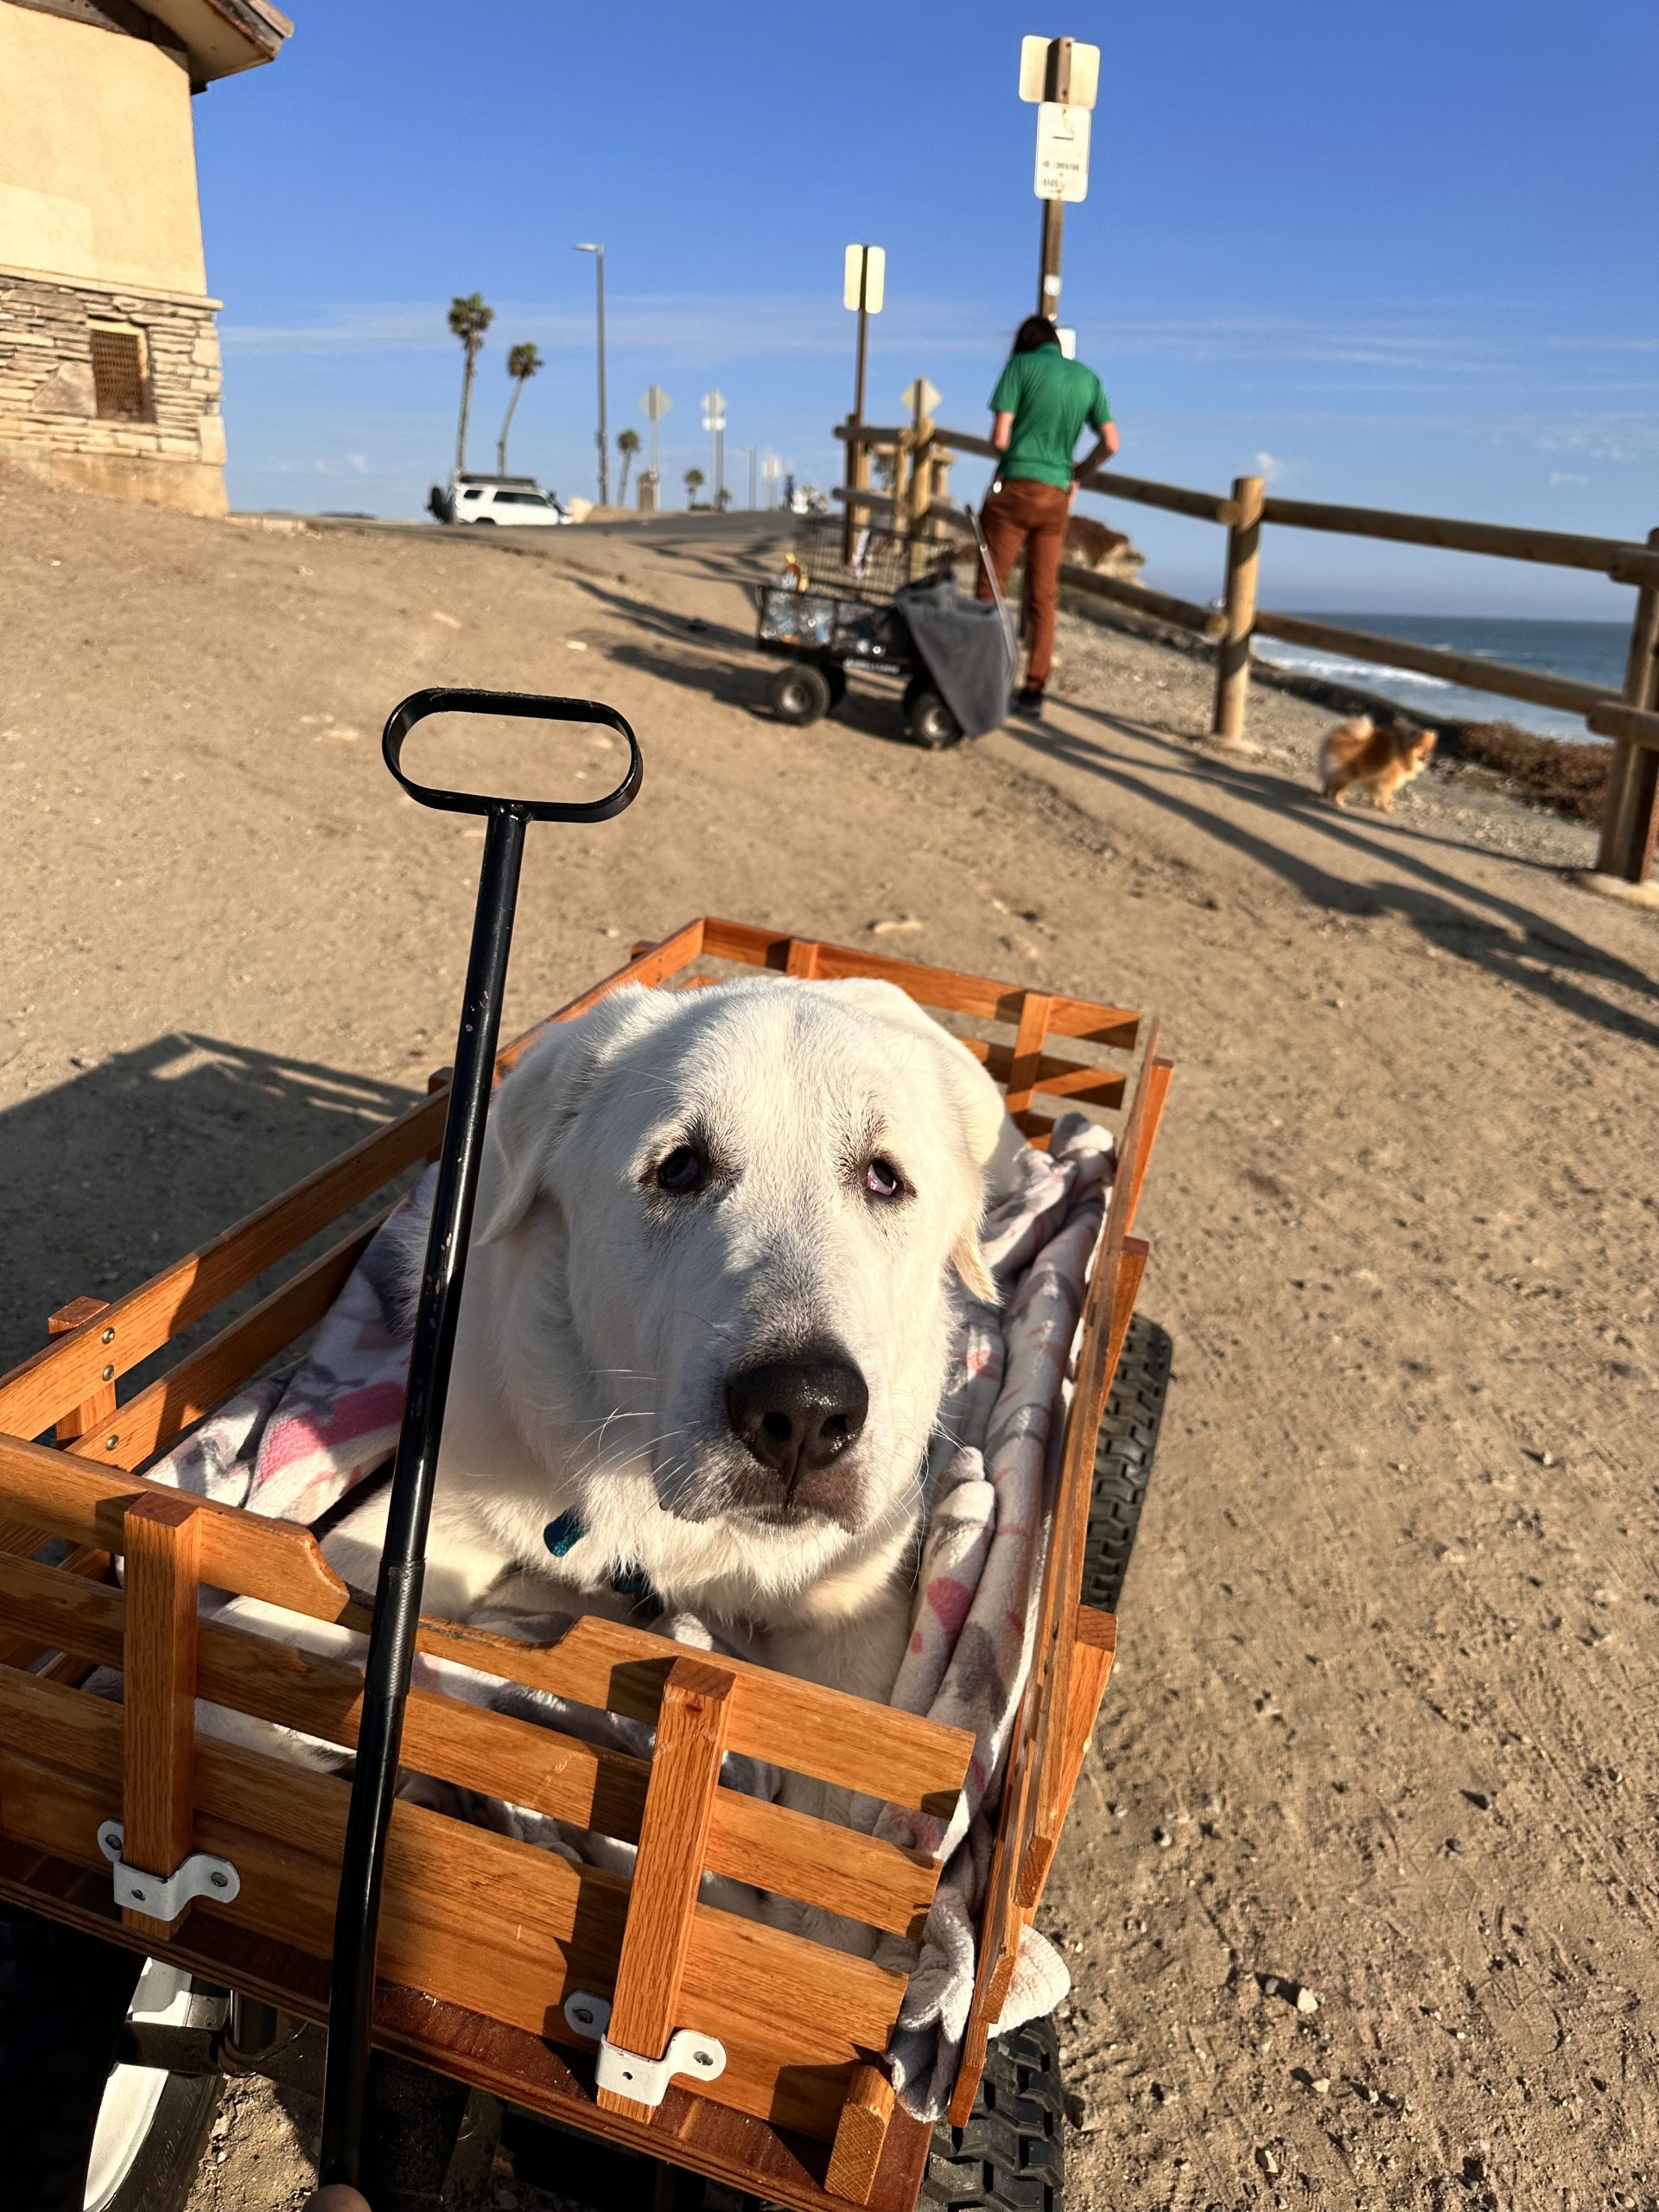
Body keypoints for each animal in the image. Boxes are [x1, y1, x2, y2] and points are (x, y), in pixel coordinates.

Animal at [1318, 712, 1433, 809]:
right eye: (1423, 749)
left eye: (1429, 749)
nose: (1429, 757)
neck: (1403, 749)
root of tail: (1338, 736)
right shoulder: (1388, 781)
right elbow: (1385, 794)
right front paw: (1386, 807)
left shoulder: (1376, 780)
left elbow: (1377, 794)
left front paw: (1376, 803)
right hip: (1347, 775)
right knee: (1336, 789)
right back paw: (1339, 802)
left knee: (1329, 782)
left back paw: (1326, 794)